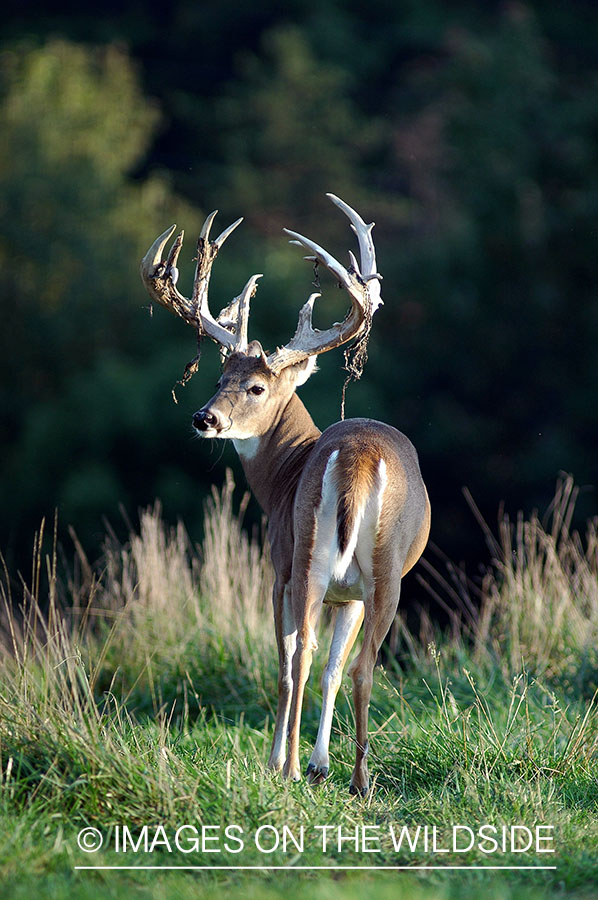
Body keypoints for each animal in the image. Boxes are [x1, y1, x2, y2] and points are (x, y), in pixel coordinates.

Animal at [141, 195, 432, 796]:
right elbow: (333, 667)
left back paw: (290, 767)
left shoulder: (276, 564)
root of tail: (358, 457)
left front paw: (284, 761)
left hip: (306, 555)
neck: (284, 473)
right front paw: (321, 762)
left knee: (295, 659)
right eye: (218, 377)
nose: (204, 417)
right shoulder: (349, 596)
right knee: (361, 666)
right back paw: (357, 779)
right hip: (382, 571)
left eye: (255, 387)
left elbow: (289, 660)